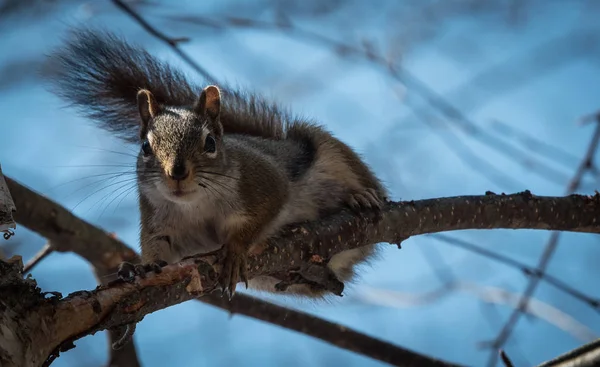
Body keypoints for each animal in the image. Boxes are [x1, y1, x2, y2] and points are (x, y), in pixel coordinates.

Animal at [45, 28, 384, 300]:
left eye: (210, 144)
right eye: (144, 147)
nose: (176, 172)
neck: (196, 204)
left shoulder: (265, 181)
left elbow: (265, 211)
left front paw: (234, 249)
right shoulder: (159, 220)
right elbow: (161, 250)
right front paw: (142, 266)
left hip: (328, 152)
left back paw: (360, 196)